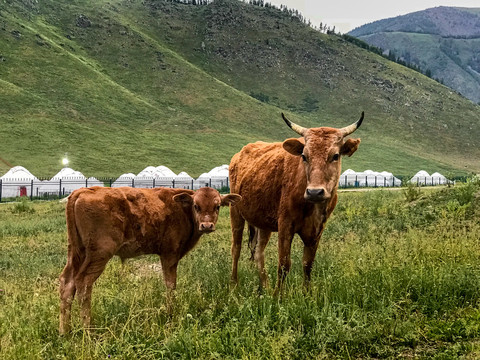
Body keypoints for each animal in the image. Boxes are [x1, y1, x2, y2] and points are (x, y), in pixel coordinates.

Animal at [59, 187, 240, 334]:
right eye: (196, 206)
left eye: (217, 206)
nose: (207, 225)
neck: (182, 210)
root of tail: (83, 191)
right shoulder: (169, 255)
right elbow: (171, 285)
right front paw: (170, 315)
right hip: (99, 254)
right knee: (83, 283)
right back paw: (88, 331)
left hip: (76, 252)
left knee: (67, 283)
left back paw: (65, 332)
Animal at [231, 112, 362, 296]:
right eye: (304, 156)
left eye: (335, 156)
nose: (315, 192)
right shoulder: (285, 226)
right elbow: (284, 264)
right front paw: (278, 296)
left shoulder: (317, 230)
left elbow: (308, 264)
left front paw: (306, 294)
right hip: (235, 213)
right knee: (236, 249)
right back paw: (233, 286)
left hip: (263, 223)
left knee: (258, 252)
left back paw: (265, 287)